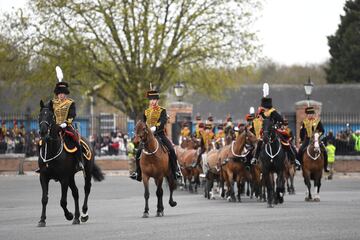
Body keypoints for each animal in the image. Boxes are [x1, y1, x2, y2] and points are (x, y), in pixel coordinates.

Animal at [37, 100, 104, 228]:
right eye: (40, 115)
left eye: (51, 115)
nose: (43, 131)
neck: (52, 149)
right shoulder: (43, 177)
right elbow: (44, 199)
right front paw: (42, 220)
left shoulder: (63, 178)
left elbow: (63, 201)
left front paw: (69, 215)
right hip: (71, 176)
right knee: (76, 192)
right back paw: (77, 217)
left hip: (86, 172)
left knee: (86, 189)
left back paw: (83, 214)